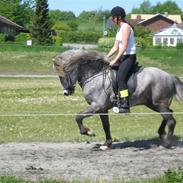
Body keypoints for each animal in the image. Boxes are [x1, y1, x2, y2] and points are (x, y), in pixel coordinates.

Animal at [53, 49, 183, 148]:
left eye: (63, 75)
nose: (66, 92)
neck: (94, 76)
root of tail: (170, 76)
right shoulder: (102, 109)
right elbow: (106, 125)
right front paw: (107, 143)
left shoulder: (96, 106)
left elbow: (78, 117)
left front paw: (88, 132)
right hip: (153, 104)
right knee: (169, 115)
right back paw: (161, 134)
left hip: (159, 104)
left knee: (171, 120)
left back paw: (167, 143)